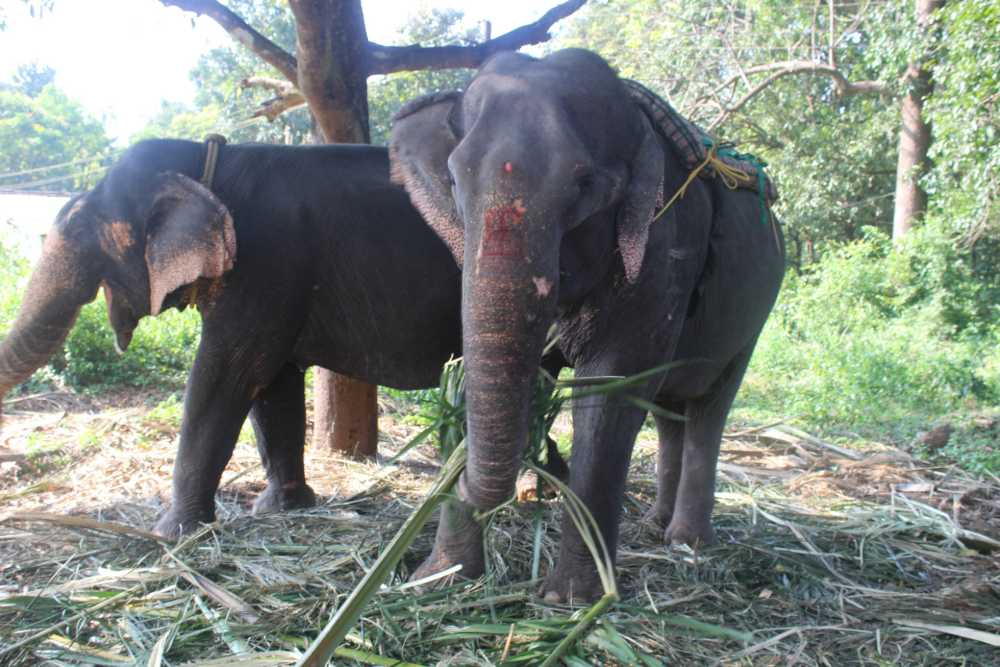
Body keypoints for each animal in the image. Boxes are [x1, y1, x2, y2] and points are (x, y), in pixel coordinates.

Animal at [0, 138, 468, 540]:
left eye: (80, 230)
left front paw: (171, 533)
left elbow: (224, 375)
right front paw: (282, 509)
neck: (206, 163)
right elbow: (274, 384)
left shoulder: (264, 264)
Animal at [390, 49, 788, 604]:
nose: (461, 481)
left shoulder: (666, 244)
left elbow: (608, 391)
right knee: (670, 413)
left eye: (584, 186)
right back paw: (657, 525)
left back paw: (687, 542)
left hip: (755, 316)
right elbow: (476, 377)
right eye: (452, 181)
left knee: (709, 408)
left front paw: (570, 601)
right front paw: (438, 579)